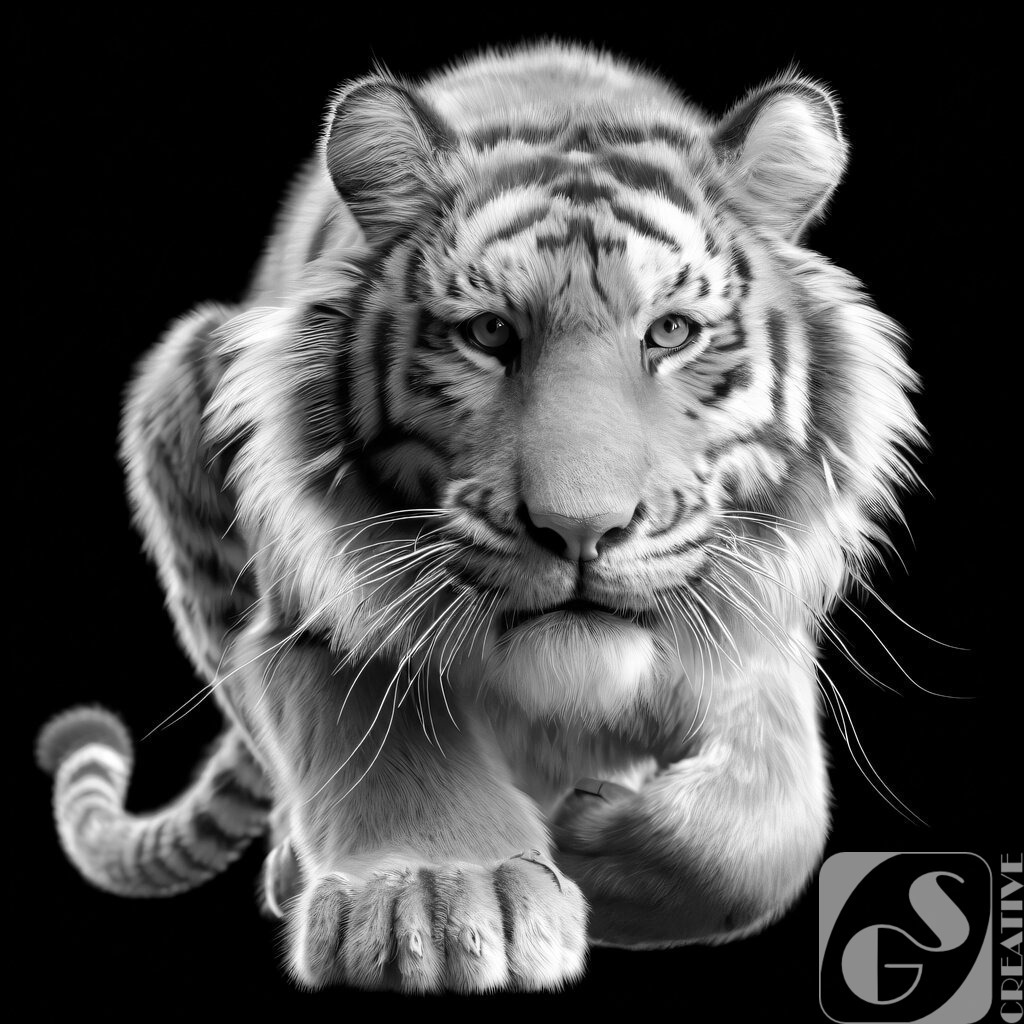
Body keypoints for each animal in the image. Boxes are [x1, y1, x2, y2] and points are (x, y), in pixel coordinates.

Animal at [37, 41, 922, 993]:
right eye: (490, 334)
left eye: (671, 332)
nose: (581, 529)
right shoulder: (316, 606)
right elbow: (382, 732)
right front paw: (437, 900)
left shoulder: (754, 623)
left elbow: (760, 836)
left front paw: (582, 841)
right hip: (178, 385)